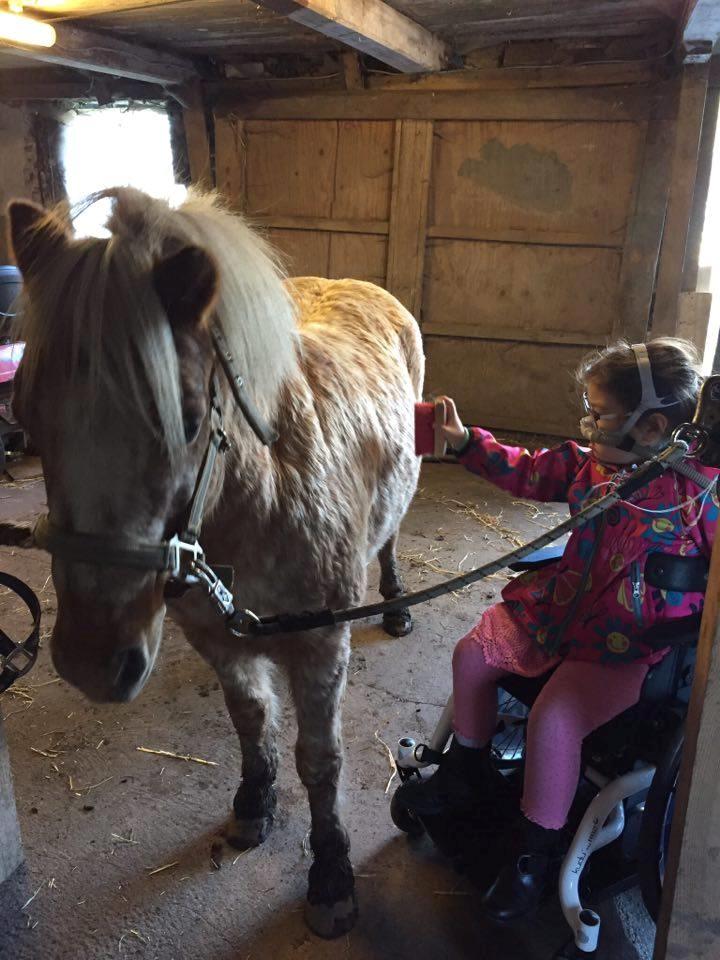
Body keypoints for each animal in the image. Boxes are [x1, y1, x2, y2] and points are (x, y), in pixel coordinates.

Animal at [8, 188, 424, 936]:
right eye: (24, 416)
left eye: (189, 417)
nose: (91, 664)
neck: (264, 494)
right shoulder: (217, 637)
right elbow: (251, 719)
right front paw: (254, 804)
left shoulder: (320, 648)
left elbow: (320, 761)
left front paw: (330, 874)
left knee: (393, 536)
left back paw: (397, 603)